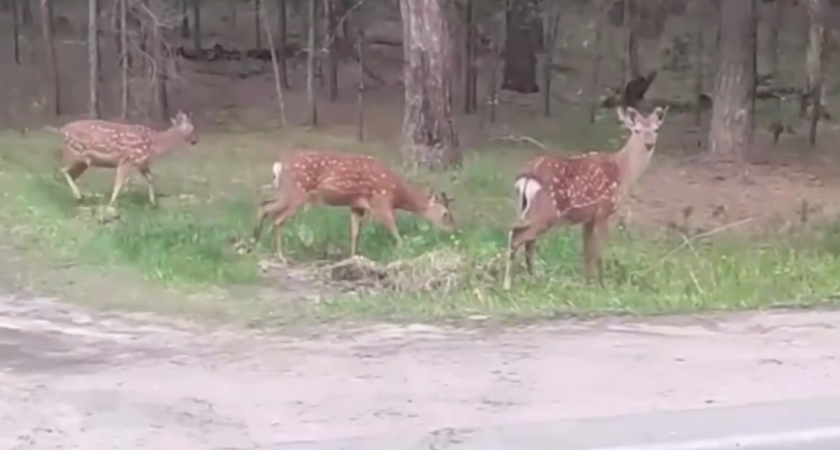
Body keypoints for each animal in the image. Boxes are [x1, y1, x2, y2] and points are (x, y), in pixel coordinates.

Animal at [48, 110, 199, 209]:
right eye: (192, 128)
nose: (195, 140)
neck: (154, 146)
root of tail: (61, 130)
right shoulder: (126, 160)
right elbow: (119, 183)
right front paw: (111, 204)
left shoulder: (142, 164)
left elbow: (150, 178)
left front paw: (153, 203)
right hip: (76, 153)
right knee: (62, 169)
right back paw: (78, 196)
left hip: (84, 161)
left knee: (69, 173)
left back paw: (80, 198)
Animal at [251, 149, 456, 262]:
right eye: (446, 213)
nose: (452, 229)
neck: (396, 193)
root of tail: (279, 165)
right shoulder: (381, 204)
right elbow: (396, 233)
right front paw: (405, 252)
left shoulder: (357, 206)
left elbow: (355, 234)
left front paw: (353, 258)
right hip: (297, 192)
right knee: (277, 217)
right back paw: (279, 255)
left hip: (287, 192)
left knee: (265, 205)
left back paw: (254, 241)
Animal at [502, 107, 668, 290]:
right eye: (636, 130)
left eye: (656, 129)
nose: (649, 144)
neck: (623, 170)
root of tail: (527, 177)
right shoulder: (604, 209)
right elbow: (599, 250)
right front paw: (602, 285)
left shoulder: (588, 217)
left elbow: (587, 250)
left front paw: (587, 282)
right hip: (546, 212)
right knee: (518, 237)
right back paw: (508, 285)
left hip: (525, 210)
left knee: (522, 237)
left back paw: (534, 279)